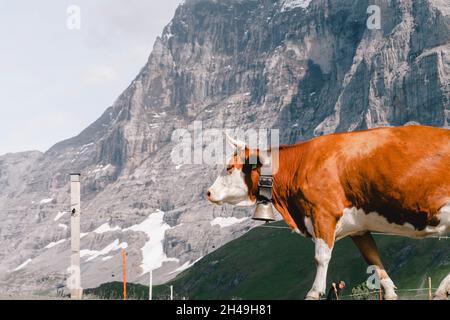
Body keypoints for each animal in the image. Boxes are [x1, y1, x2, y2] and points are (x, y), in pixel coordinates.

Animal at [207, 124, 450, 300]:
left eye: (229, 168)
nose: (208, 192)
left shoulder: (322, 213)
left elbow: (321, 256)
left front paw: (314, 292)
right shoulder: (358, 227)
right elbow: (374, 260)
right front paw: (390, 292)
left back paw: (441, 290)